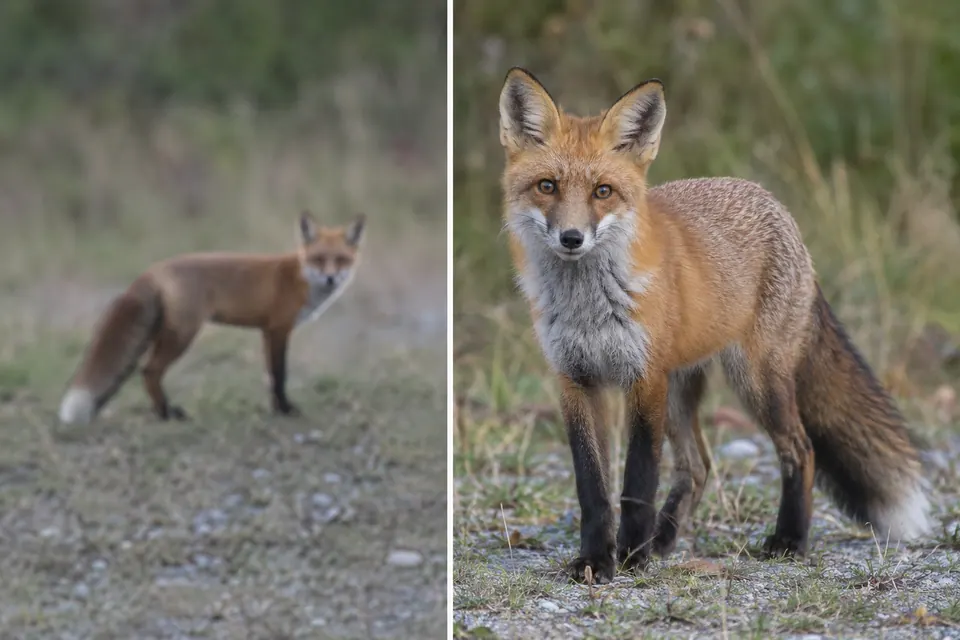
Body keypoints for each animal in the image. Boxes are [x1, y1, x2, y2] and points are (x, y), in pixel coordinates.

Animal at [57, 211, 366, 425]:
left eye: (341, 259)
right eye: (319, 259)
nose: (330, 278)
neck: (300, 279)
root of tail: (154, 269)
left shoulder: (267, 332)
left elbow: (271, 376)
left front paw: (276, 409)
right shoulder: (278, 329)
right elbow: (280, 375)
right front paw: (285, 410)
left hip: (164, 333)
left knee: (146, 372)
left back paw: (162, 411)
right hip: (183, 334)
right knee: (149, 371)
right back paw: (167, 414)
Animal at [498, 67, 934, 583]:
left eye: (602, 191)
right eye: (547, 186)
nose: (571, 238)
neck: (589, 306)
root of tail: (775, 205)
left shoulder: (644, 379)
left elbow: (637, 481)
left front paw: (632, 558)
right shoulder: (575, 380)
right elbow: (593, 489)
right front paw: (596, 559)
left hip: (754, 382)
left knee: (800, 449)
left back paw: (788, 540)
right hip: (682, 391)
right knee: (699, 466)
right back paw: (665, 539)